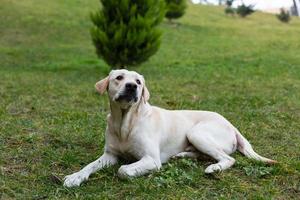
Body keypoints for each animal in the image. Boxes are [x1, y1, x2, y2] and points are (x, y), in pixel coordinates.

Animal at [63, 69, 276, 188]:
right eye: (119, 77)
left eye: (138, 82)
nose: (132, 86)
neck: (126, 122)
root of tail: (232, 124)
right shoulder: (110, 155)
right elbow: (89, 166)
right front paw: (75, 177)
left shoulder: (151, 159)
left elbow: (123, 170)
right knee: (207, 154)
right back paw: (183, 155)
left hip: (196, 132)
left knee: (228, 158)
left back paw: (213, 168)